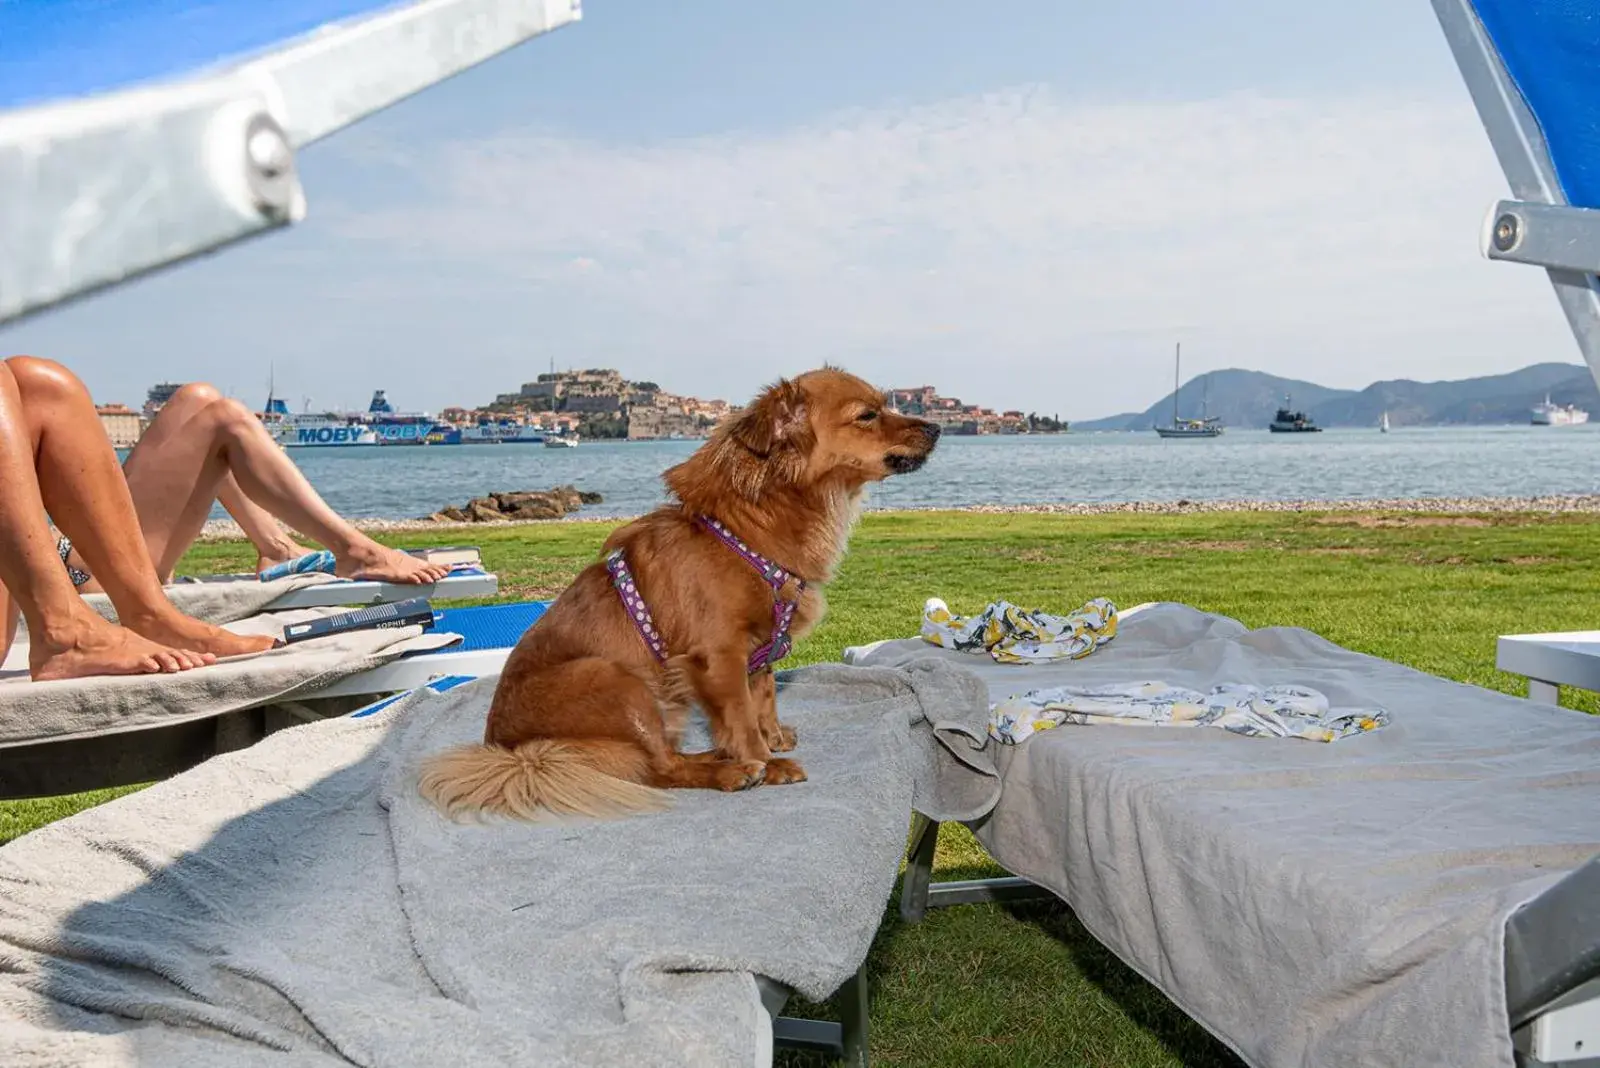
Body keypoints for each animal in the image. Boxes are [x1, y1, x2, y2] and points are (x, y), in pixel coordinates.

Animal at [419, 362, 934, 824]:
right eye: (867, 415)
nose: (936, 427)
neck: (745, 528)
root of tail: (513, 752)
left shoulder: (760, 648)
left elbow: (764, 696)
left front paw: (770, 739)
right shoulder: (718, 658)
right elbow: (741, 717)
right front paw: (765, 761)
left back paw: (717, 756)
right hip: (616, 680)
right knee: (660, 770)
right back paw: (731, 771)